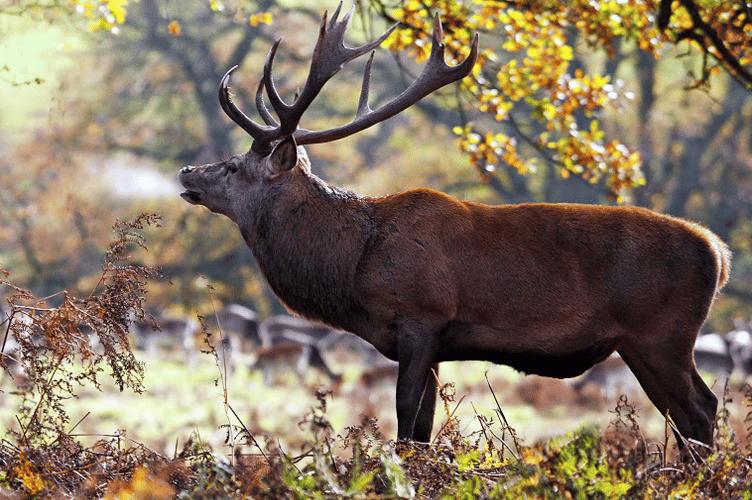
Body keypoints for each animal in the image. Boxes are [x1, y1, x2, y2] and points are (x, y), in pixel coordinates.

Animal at [178, 4, 728, 446]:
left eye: (234, 167)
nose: (186, 172)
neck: (353, 266)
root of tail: (719, 254)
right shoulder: (433, 341)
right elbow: (422, 426)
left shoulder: (421, 315)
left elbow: (406, 421)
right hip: (642, 343)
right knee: (694, 411)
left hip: (663, 332)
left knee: (699, 412)